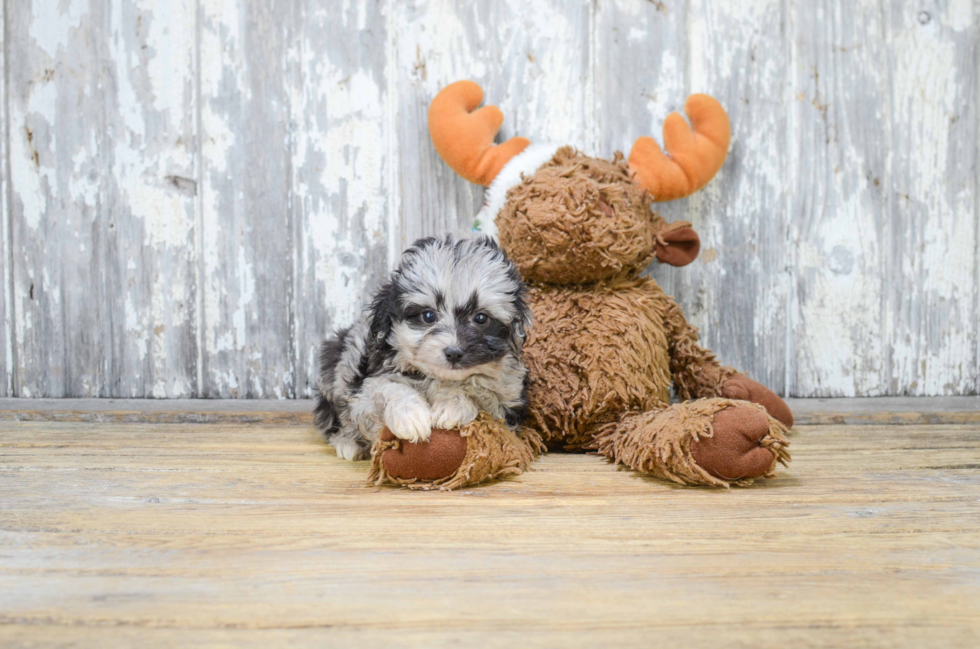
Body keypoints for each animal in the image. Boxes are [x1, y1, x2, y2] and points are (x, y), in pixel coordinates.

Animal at [314, 233, 532, 460]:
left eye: (481, 318)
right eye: (428, 316)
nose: (454, 353)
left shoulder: (510, 397)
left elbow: (483, 392)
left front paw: (452, 404)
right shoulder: (362, 389)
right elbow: (384, 388)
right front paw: (410, 415)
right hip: (340, 368)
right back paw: (348, 443)